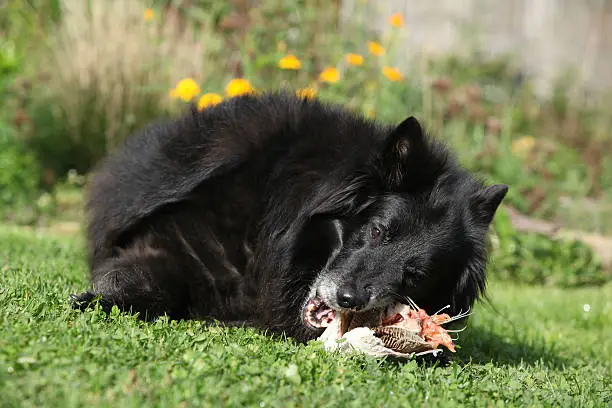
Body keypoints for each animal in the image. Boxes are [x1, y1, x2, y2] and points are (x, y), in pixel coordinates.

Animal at [73, 91, 506, 342]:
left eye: (416, 275)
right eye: (377, 231)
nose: (349, 299)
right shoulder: (172, 242)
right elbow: (150, 282)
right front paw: (91, 299)